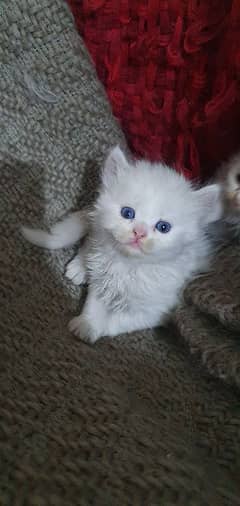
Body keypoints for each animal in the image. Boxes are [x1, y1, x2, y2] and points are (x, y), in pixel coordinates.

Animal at [21, 146, 222, 344]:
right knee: (92, 237)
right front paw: (87, 322)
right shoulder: (102, 279)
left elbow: (120, 321)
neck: (128, 265)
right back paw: (81, 266)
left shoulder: (158, 309)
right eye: (127, 213)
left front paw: (93, 328)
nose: (139, 233)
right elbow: (94, 303)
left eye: (163, 227)